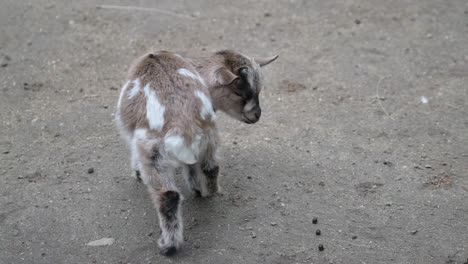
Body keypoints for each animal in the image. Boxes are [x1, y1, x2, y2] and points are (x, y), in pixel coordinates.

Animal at [116, 50, 278, 256]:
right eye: (239, 93)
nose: (257, 115)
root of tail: (182, 124)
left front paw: (136, 172)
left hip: (152, 152)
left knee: (169, 196)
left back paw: (168, 246)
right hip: (210, 138)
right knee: (211, 167)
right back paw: (206, 192)